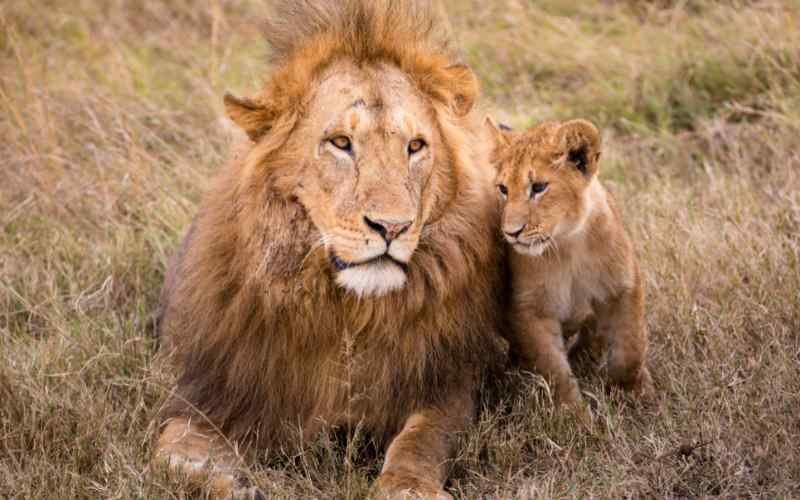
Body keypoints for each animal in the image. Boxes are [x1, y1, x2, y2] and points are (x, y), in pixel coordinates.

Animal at [153, 1, 506, 498]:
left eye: (416, 146)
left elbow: (421, 440)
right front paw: (237, 485)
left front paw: (408, 487)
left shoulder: (449, 382)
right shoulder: (218, 390)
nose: (392, 226)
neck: (346, 313)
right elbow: (168, 453)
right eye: (341, 143)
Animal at [486, 118, 654, 425]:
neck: (567, 245)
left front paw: (633, 393)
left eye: (539, 187)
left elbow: (631, 347)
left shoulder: (624, 287)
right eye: (503, 189)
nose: (511, 232)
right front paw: (574, 418)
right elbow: (555, 370)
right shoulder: (530, 310)